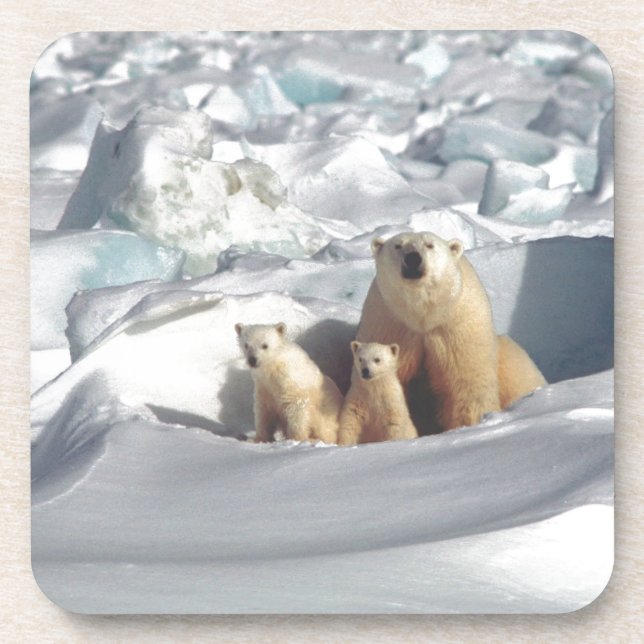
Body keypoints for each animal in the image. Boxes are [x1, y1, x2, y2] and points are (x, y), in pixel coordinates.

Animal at [356, 231, 546, 432]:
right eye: (398, 245)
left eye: (430, 245)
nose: (413, 258)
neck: (422, 316)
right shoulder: (389, 325)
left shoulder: (457, 327)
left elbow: (466, 383)